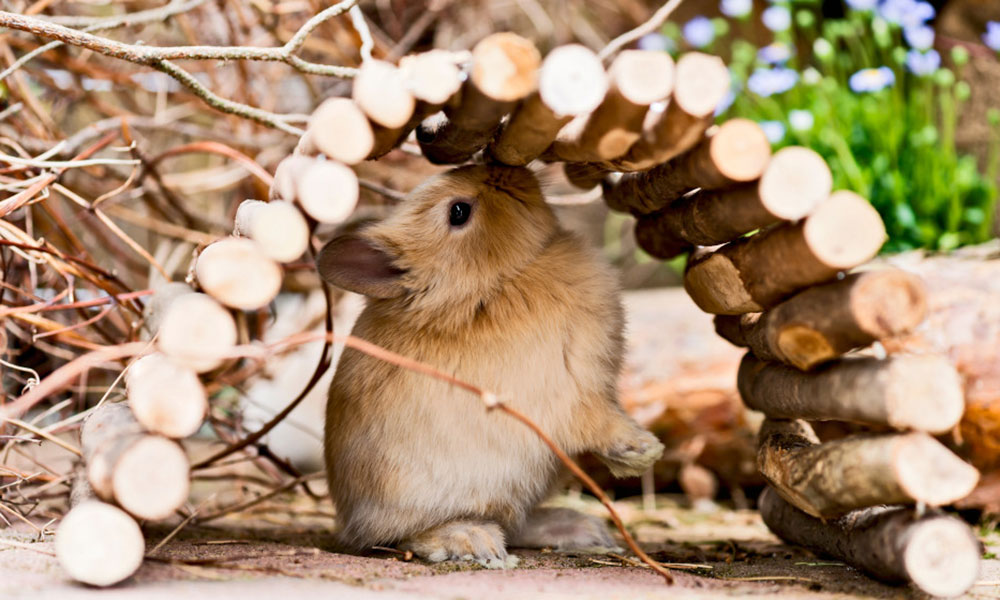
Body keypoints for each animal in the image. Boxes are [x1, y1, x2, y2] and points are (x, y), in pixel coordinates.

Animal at [317, 164, 664, 568]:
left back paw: (579, 529)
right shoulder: (572, 397)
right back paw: (471, 541)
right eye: (458, 212)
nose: (505, 170)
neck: (491, 286)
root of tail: (349, 520)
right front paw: (643, 451)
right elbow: (600, 425)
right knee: (401, 535)